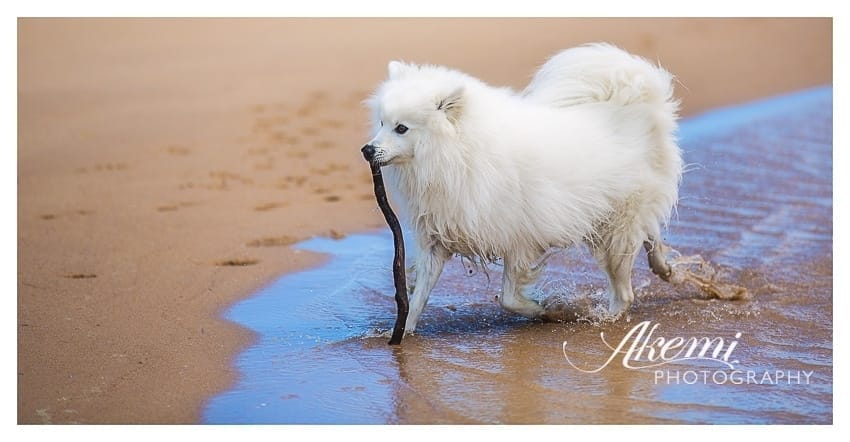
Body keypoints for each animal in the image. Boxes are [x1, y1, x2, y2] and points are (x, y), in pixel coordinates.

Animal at [362, 45, 680, 334]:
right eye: (382, 123)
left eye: (401, 128)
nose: (367, 150)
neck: (456, 154)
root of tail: (633, 111)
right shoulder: (437, 240)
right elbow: (418, 298)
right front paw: (403, 332)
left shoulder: (519, 240)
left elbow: (509, 299)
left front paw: (551, 311)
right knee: (651, 233)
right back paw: (664, 268)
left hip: (617, 231)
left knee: (625, 291)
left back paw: (603, 318)